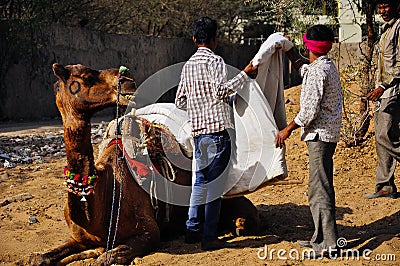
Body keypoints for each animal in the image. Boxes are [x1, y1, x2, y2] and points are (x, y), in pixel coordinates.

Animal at [28, 63, 260, 264]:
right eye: (86, 77)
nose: (128, 81)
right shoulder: (78, 238)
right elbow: (39, 258)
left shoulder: (149, 231)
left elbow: (106, 257)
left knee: (246, 217)